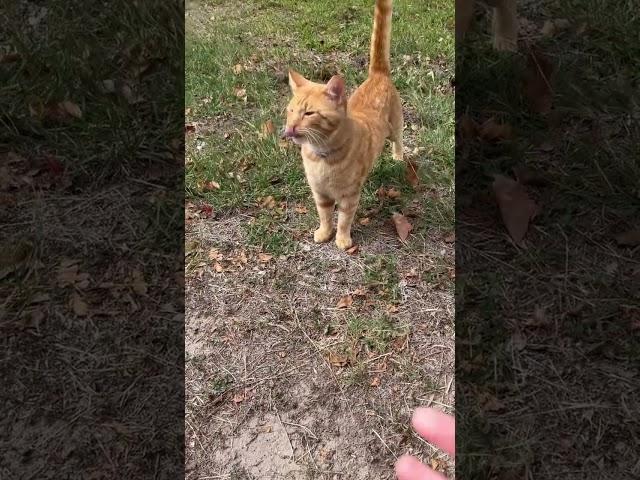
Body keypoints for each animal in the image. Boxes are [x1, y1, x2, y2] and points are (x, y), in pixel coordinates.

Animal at [284, 0, 402, 249]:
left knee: (399, 141)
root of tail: (377, 74)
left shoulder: (349, 196)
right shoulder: (320, 194)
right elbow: (325, 215)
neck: (322, 155)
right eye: (291, 111)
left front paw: (342, 238)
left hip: (396, 126)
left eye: (309, 113)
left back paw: (398, 157)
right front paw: (324, 232)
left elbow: (345, 219)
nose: (290, 128)